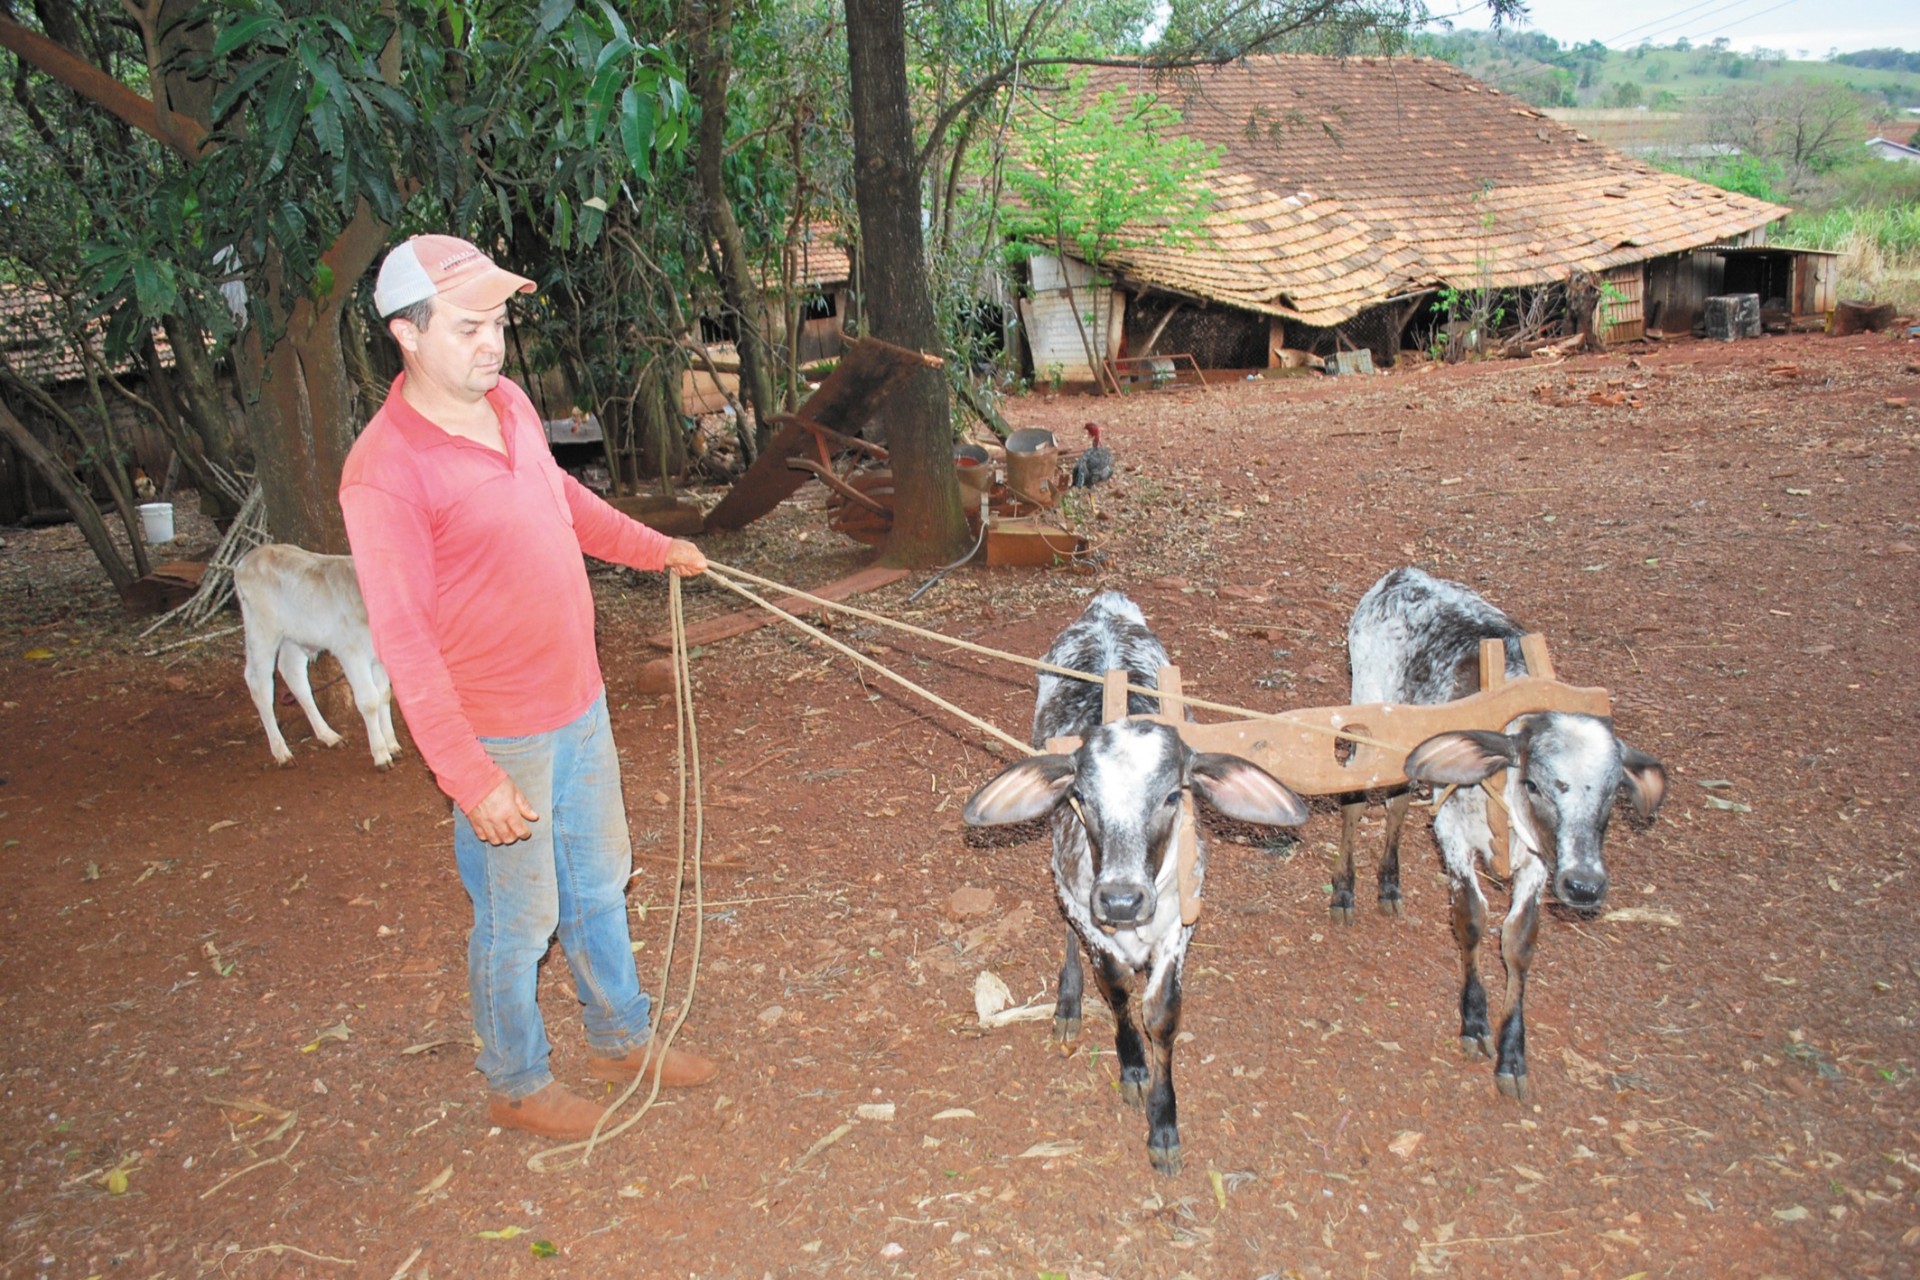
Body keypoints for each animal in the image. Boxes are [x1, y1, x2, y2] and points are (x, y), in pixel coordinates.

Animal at [960, 591, 1305, 1174]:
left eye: (1171, 795)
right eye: (1081, 796)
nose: (1121, 899)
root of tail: (1105, 606)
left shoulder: (1183, 920)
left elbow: (1161, 1013)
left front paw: (1163, 1125)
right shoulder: (1084, 902)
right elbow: (1117, 986)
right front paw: (1133, 1067)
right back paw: (1068, 1002)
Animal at [1336, 571, 1666, 1105]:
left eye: (1615, 790)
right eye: (1535, 783)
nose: (1584, 885)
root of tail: (1403, 574)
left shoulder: (1540, 861)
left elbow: (1519, 940)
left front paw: (1513, 1054)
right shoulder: (1451, 830)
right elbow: (1471, 920)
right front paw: (1474, 1022)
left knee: (1398, 800)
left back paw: (1388, 884)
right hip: (1365, 713)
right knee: (1355, 799)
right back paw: (1344, 890)